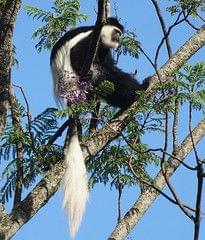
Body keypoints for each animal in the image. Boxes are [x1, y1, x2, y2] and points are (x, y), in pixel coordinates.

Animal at [49, 17, 149, 238]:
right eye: (116, 32)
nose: (118, 39)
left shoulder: (104, 51)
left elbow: (110, 66)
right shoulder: (89, 42)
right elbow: (80, 58)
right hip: (78, 81)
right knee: (106, 78)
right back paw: (136, 91)